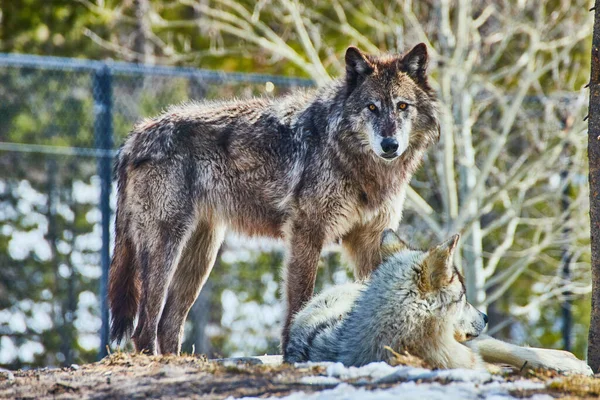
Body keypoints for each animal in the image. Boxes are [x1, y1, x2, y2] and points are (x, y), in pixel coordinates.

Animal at [108, 44, 438, 356]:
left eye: (402, 106)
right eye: (372, 107)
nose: (389, 145)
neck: (353, 158)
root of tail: (135, 136)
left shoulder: (370, 240)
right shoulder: (306, 232)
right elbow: (300, 300)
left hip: (202, 255)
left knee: (168, 324)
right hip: (166, 246)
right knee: (144, 328)